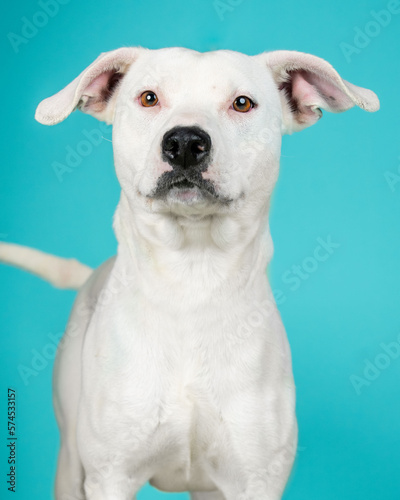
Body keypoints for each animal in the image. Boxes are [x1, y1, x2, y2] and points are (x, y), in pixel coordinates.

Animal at [0, 47, 380, 500]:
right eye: (148, 98)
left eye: (242, 103)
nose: (184, 143)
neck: (192, 279)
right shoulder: (110, 477)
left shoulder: (256, 479)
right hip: (70, 465)